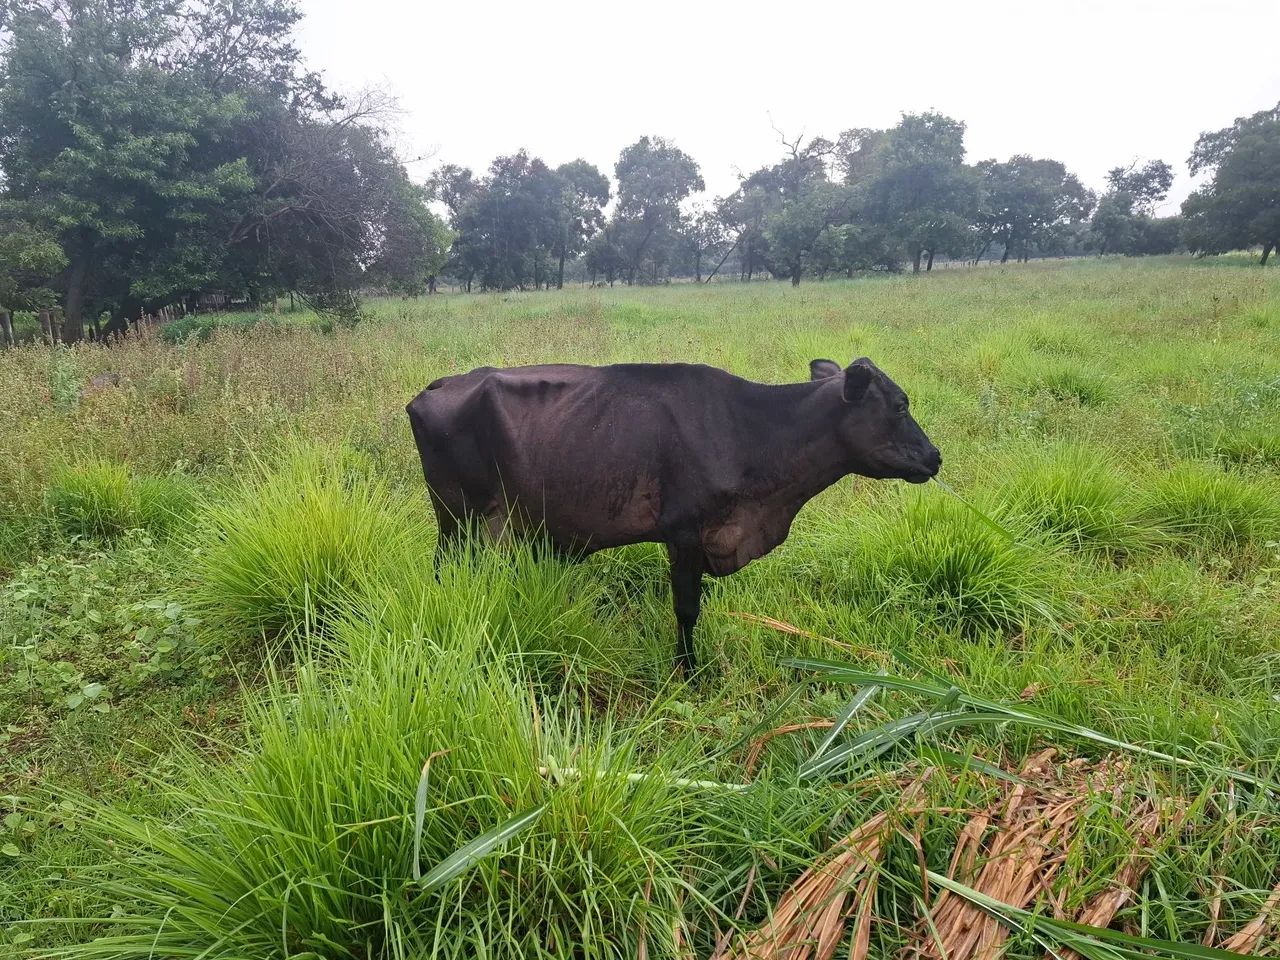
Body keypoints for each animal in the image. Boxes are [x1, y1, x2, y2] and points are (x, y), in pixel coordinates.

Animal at [405, 357, 941, 674]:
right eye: (900, 405)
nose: (935, 457)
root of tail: (443, 382)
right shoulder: (684, 533)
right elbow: (687, 609)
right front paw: (688, 672)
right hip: (454, 517)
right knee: (441, 570)